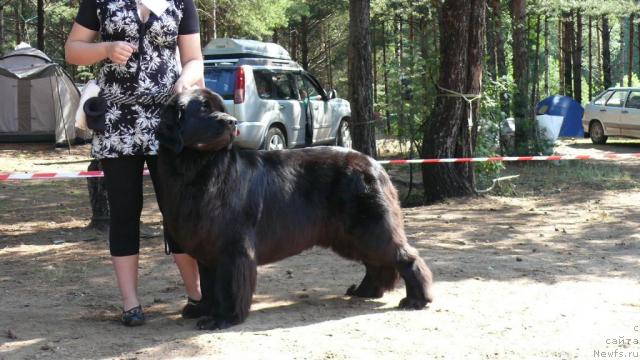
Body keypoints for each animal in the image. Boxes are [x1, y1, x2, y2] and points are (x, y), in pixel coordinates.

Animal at [157, 87, 432, 330]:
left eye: (221, 109)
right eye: (203, 109)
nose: (232, 121)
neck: (197, 167)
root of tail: (374, 164)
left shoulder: (232, 247)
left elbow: (227, 286)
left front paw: (222, 318)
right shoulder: (206, 247)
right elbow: (208, 284)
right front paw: (203, 309)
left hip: (369, 228)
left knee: (405, 257)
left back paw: (416, 299)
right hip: (350, 236)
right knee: (377, 262)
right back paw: (366, 291)